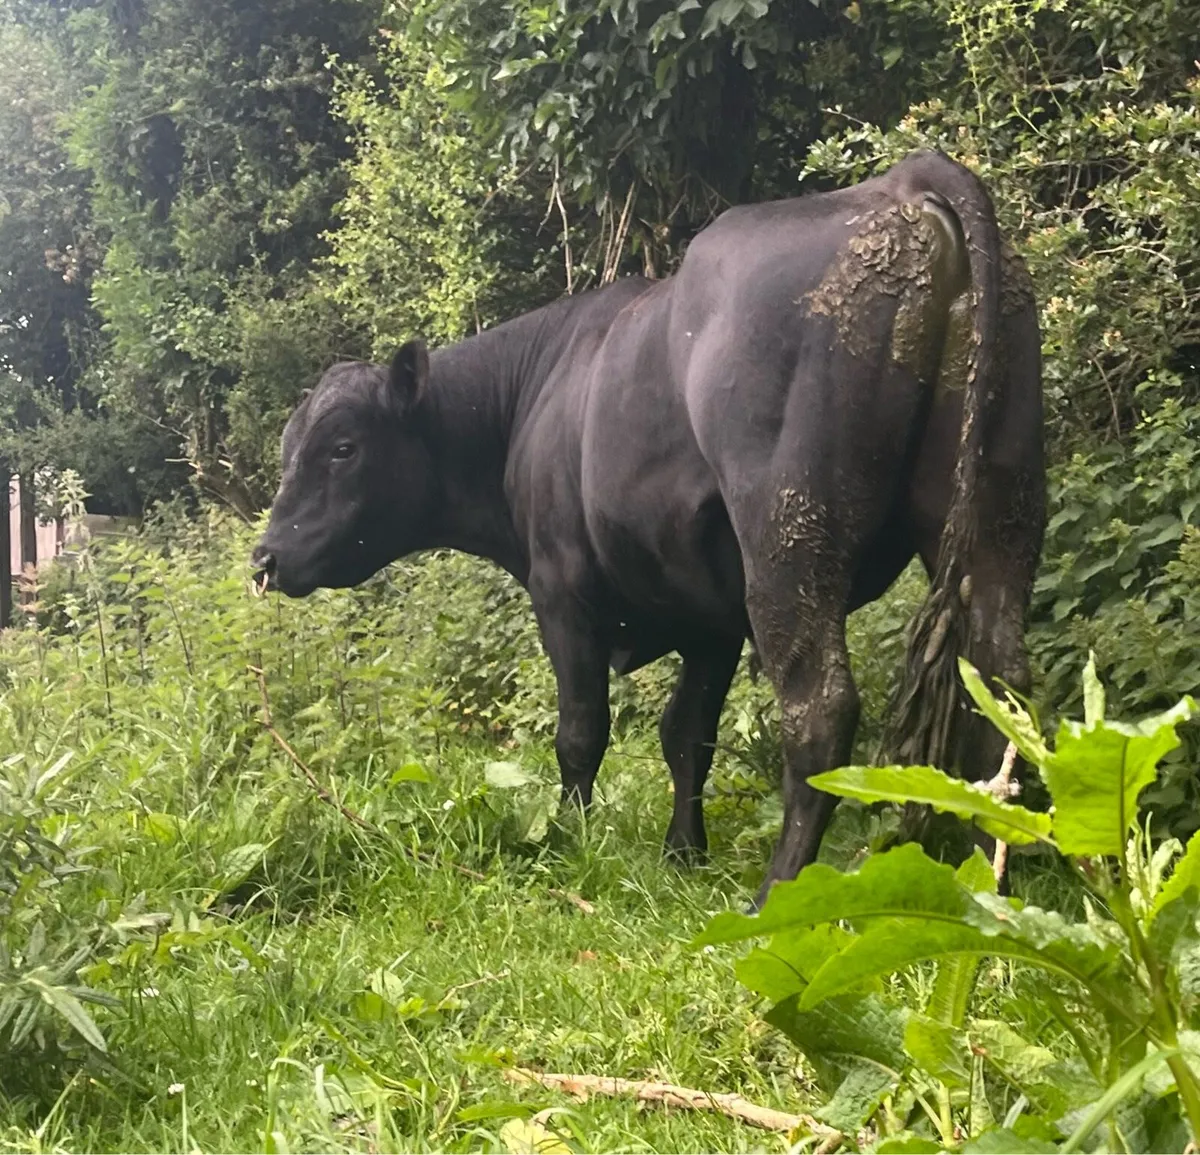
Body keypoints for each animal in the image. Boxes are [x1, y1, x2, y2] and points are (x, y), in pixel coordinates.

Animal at [252, 150, 1045, 905]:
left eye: (343, 447)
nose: (265, 556)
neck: (531, 398)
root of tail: (904, 179)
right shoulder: (709, 617)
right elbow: (686, 733)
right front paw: (682, 851)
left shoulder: (562, 593)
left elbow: (581, 731)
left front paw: (570, 840)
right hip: (1001, 516)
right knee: (1002, 685)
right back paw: (995, 867)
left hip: (788, 537)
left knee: (821, 709)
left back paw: (777, 890)